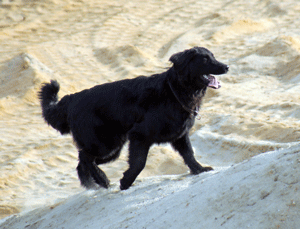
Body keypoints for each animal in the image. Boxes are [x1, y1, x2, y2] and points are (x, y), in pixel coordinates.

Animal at [39, 46, 227, 190]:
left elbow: (189, 155)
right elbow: (139, 163)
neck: (174, 91)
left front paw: (199, 169)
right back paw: (102, 179)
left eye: (213, 56)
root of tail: (72, 99)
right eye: (204, 59)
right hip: (105, 144)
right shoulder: (140, 136)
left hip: (112, 148)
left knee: (82, 162)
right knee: (84, 157)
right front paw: (126, 181)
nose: (226, 67)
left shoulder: (179, 136)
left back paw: (93, 183)